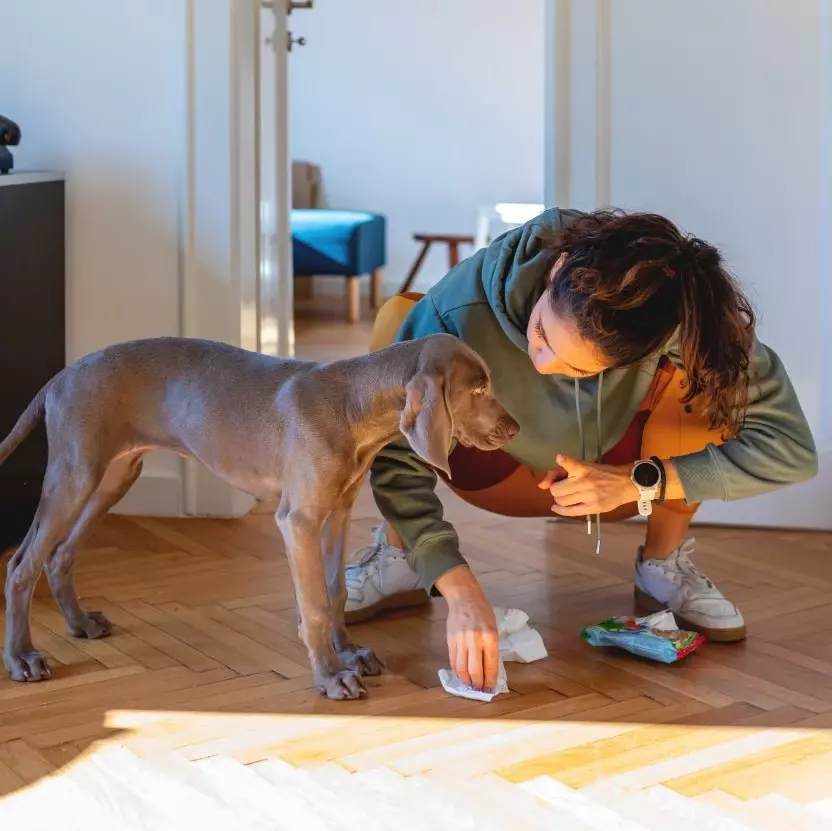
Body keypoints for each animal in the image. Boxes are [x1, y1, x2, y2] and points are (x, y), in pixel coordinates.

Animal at [1, 334, 520, 700]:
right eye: (477, 388)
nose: (515, 427)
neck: (352, 405)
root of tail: (61, 378)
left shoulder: (335, 513)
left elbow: (333, 592)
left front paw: (348, 652)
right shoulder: (299, 519)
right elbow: (313, 603)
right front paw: (331, 675)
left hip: (113, 476)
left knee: (60, 555)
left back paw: (80, 622)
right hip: (75, 474)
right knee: (23, 562)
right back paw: (22, 658)